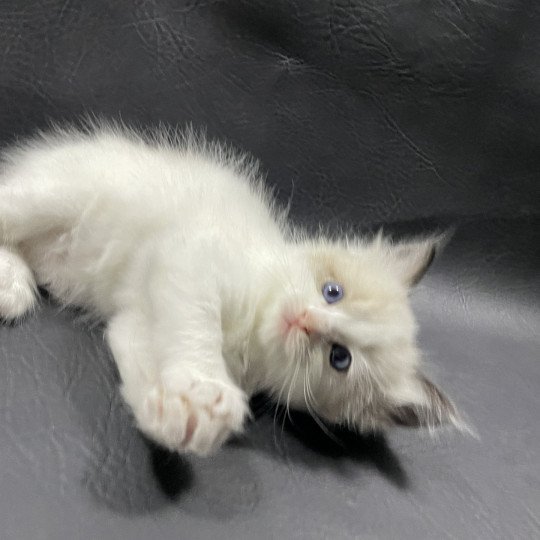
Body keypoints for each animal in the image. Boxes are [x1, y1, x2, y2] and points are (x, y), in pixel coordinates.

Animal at [0, 121, 460, 456]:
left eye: (339, 358)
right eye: (333, 291)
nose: (304, 320)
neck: (251, 335)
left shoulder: (133, 323)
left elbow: (143, 365)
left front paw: (181, 418)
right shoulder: (192, 261)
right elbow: (196, 328)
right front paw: (202, 388)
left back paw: (12, 285)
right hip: (55, 196)